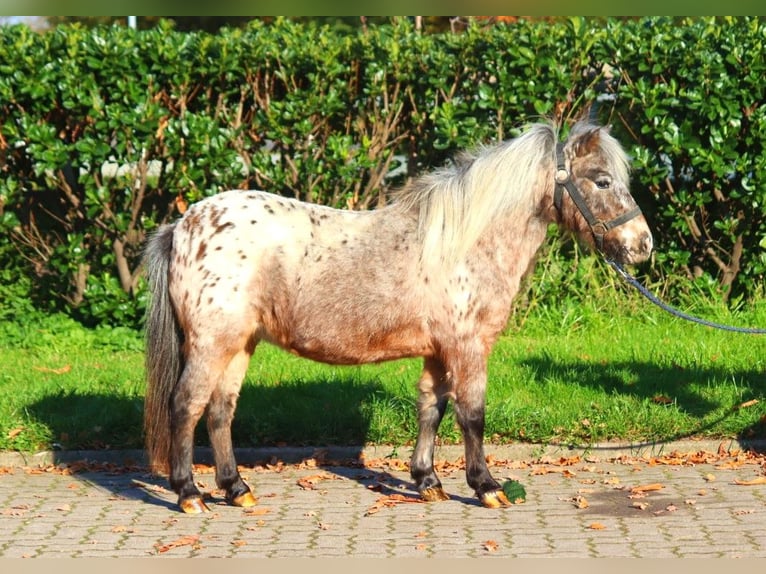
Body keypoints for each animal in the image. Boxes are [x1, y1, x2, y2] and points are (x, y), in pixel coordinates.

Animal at [141, 120, 652, 512]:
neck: (462, 242)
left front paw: (428, 482)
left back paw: (236, 489)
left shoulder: (439, 351)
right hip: (212, 344)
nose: (643, 245)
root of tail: (183, 226)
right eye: (602, 180)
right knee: (185, 406)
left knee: (220, 411)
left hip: (239, 344)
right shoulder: (468, 348)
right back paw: (189, 494)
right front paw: (486, 488)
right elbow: (472, 415)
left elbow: (431, 409)